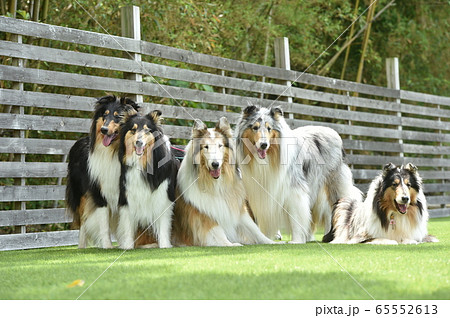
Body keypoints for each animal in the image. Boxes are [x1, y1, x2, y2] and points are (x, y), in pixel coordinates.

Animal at [66, 94, 138, 248]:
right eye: (105, 115)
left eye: (118, 116)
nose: (103, 129)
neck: (114, 152)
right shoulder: (99, 193)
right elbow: (103, 224)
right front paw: (107, 246)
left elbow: (126, 220)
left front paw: (127, 244)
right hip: (81, 194)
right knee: (83, 221)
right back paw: (81, 247)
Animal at [116, 111, 179, 248]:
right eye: (133, 130)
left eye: (147, 130)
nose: (138, 142)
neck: (143, 163)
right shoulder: (128, 196)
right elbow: (128, 224)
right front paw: (127, 247)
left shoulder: (164, 196)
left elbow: (164, 223)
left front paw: (165, 246)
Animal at [173, 117, 276, 246]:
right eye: (206, 147)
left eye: (220, 146)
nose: (215, 164)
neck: (217, 184)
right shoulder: (206, 214)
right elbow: (218, 232)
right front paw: (231, 244)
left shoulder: (238, 209)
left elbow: (255, 230)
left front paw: (273, 242)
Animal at [234, 105, 360, 242]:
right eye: (255, 127)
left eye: (269, 128)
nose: (263, 145)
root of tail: (332, 131)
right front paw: (266, 238)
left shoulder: (294, 190)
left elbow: (296, 217)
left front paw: (296, 240)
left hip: (334, 186)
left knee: (334, 209)